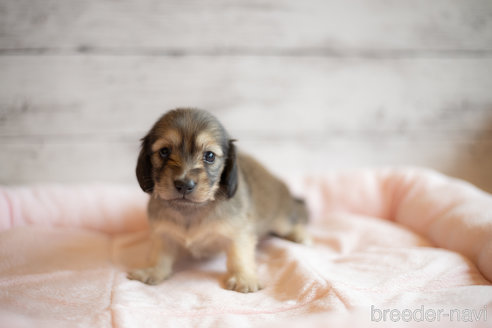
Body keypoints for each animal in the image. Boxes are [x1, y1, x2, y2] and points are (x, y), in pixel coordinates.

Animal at [129, 109, 310, 294]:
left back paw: (300, 235)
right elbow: (159, 254)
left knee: (294, 221)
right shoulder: (162, 233)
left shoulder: (238, 233)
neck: (191, 210)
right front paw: (152, 270)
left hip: (281, 220)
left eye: (209, 156)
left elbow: (239, 256)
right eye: (164, 151)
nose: (184, 185)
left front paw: (243, 278)